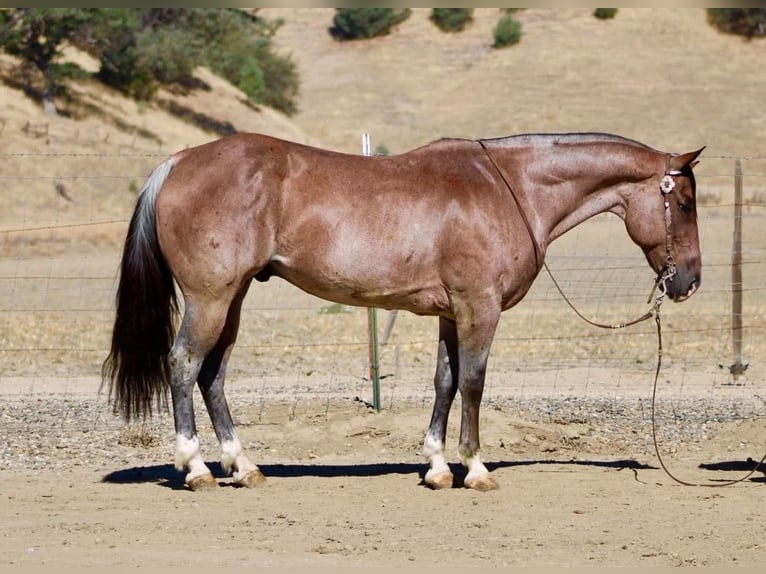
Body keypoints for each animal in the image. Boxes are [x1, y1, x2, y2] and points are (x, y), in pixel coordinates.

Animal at [102, 131, 703, 491]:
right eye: (685, 203)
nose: (690, 281)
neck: (507, 188)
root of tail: (178, 162)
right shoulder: (479, 308)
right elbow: (474, 383)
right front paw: (475, 468)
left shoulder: (450, 313)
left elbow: (445, 381)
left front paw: (437, 467)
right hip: (211, 298)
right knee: (183, 366)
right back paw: (196, 468)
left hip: (234, 298)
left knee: (213, 374)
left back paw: (243, 466)